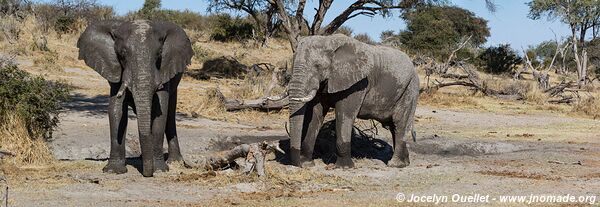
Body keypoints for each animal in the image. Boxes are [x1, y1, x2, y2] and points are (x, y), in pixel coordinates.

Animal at [77, 19, 193, 176]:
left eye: (159, 54)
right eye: (122, 54)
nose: (147, 173)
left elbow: (160, 111)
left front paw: (159, 169)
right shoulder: (116, 70)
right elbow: (116, 110)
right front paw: (113, 171)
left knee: (170, 115)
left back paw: (174, 162)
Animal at [288, 34, 420, 169]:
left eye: (318, 66)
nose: (298, 165)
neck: (329, 40)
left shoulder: (357, 83)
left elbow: (345, 113)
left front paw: (344, 167)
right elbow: (316, 114)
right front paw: (307, 163)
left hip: (410, 89)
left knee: (399, 123)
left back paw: (395, 164)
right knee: (393, 126)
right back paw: (405, 162)